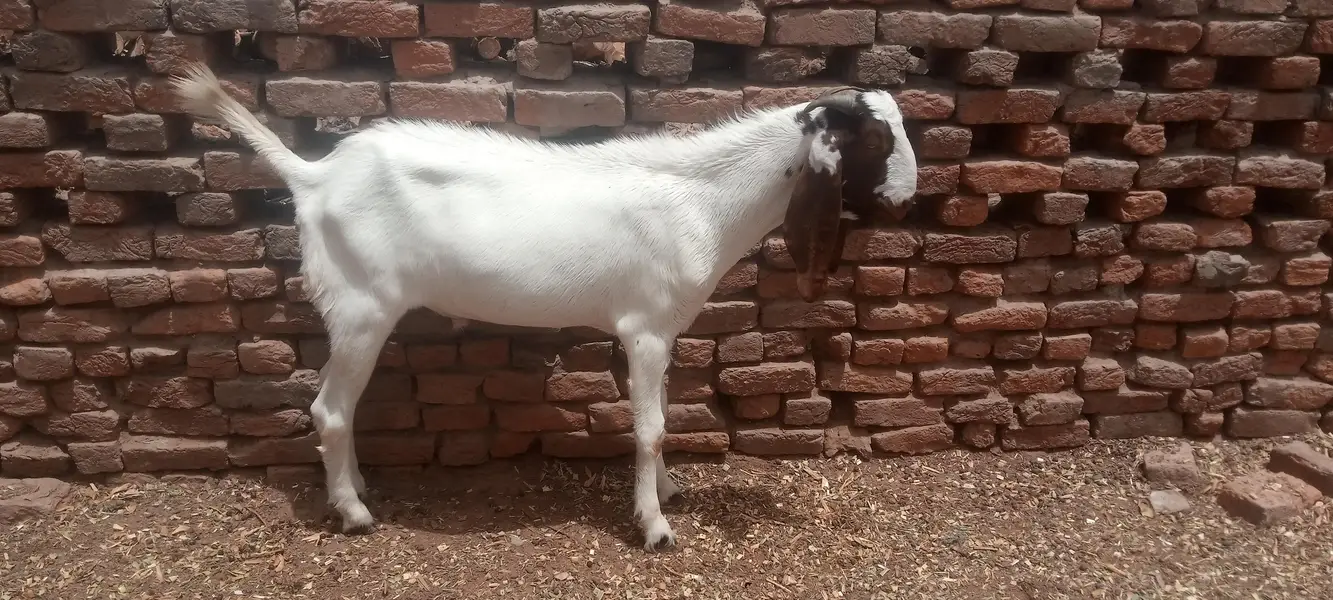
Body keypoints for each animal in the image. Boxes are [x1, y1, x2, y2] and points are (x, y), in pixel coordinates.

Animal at [171, 64, 918, 551]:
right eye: (876, 141)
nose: (906, 199)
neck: (700, 202)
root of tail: (316, 175)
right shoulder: (644, 329)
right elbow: (650, 428)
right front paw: (655, 526)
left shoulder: (665, 331)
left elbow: (661, 415)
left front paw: (669, 492)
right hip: (361, 306)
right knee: (329, 408)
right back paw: (353, 514)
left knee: (338, 405)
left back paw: (354, 488)